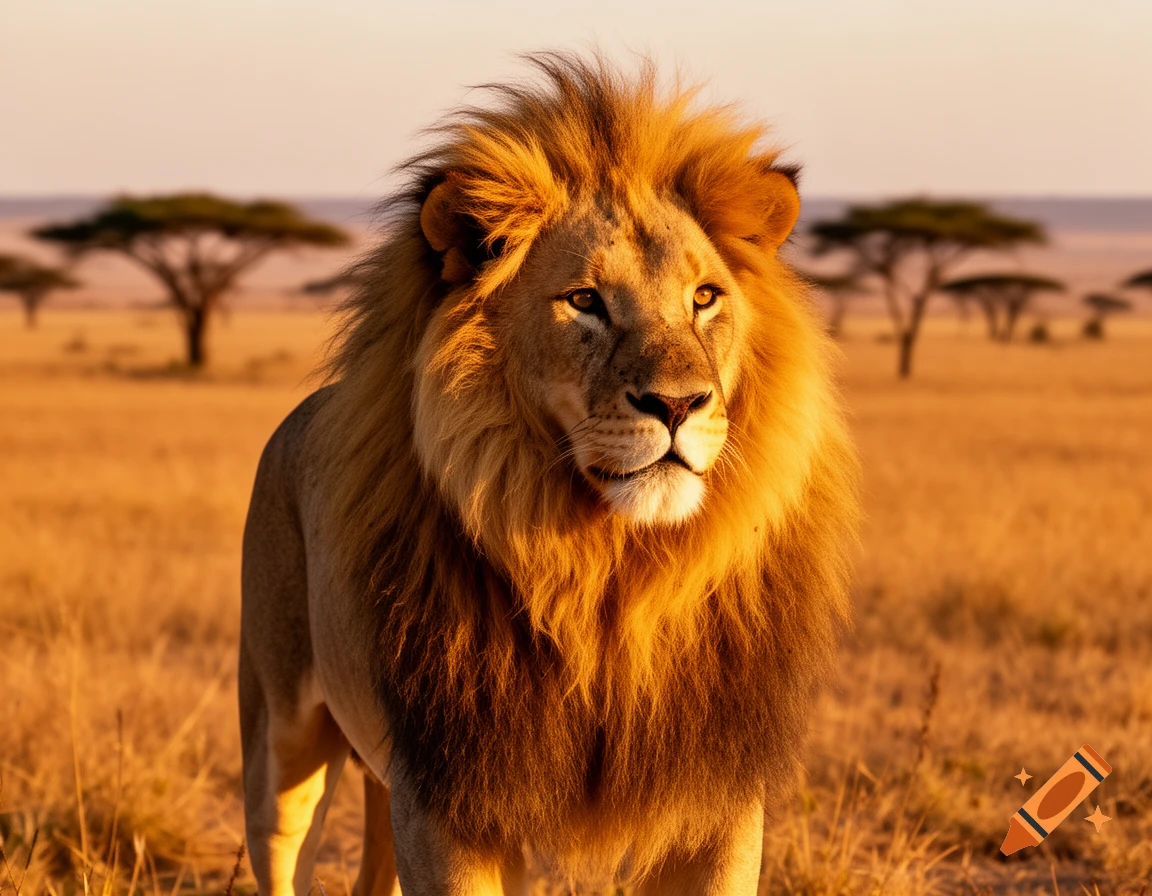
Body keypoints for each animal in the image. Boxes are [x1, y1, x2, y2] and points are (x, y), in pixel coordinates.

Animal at [240, 52, 858, 896]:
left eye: (705, 297)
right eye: (584, 301)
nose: (679, 403)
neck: (608, 576)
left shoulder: (716, 791)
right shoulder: (447, 796)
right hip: (282, 737)